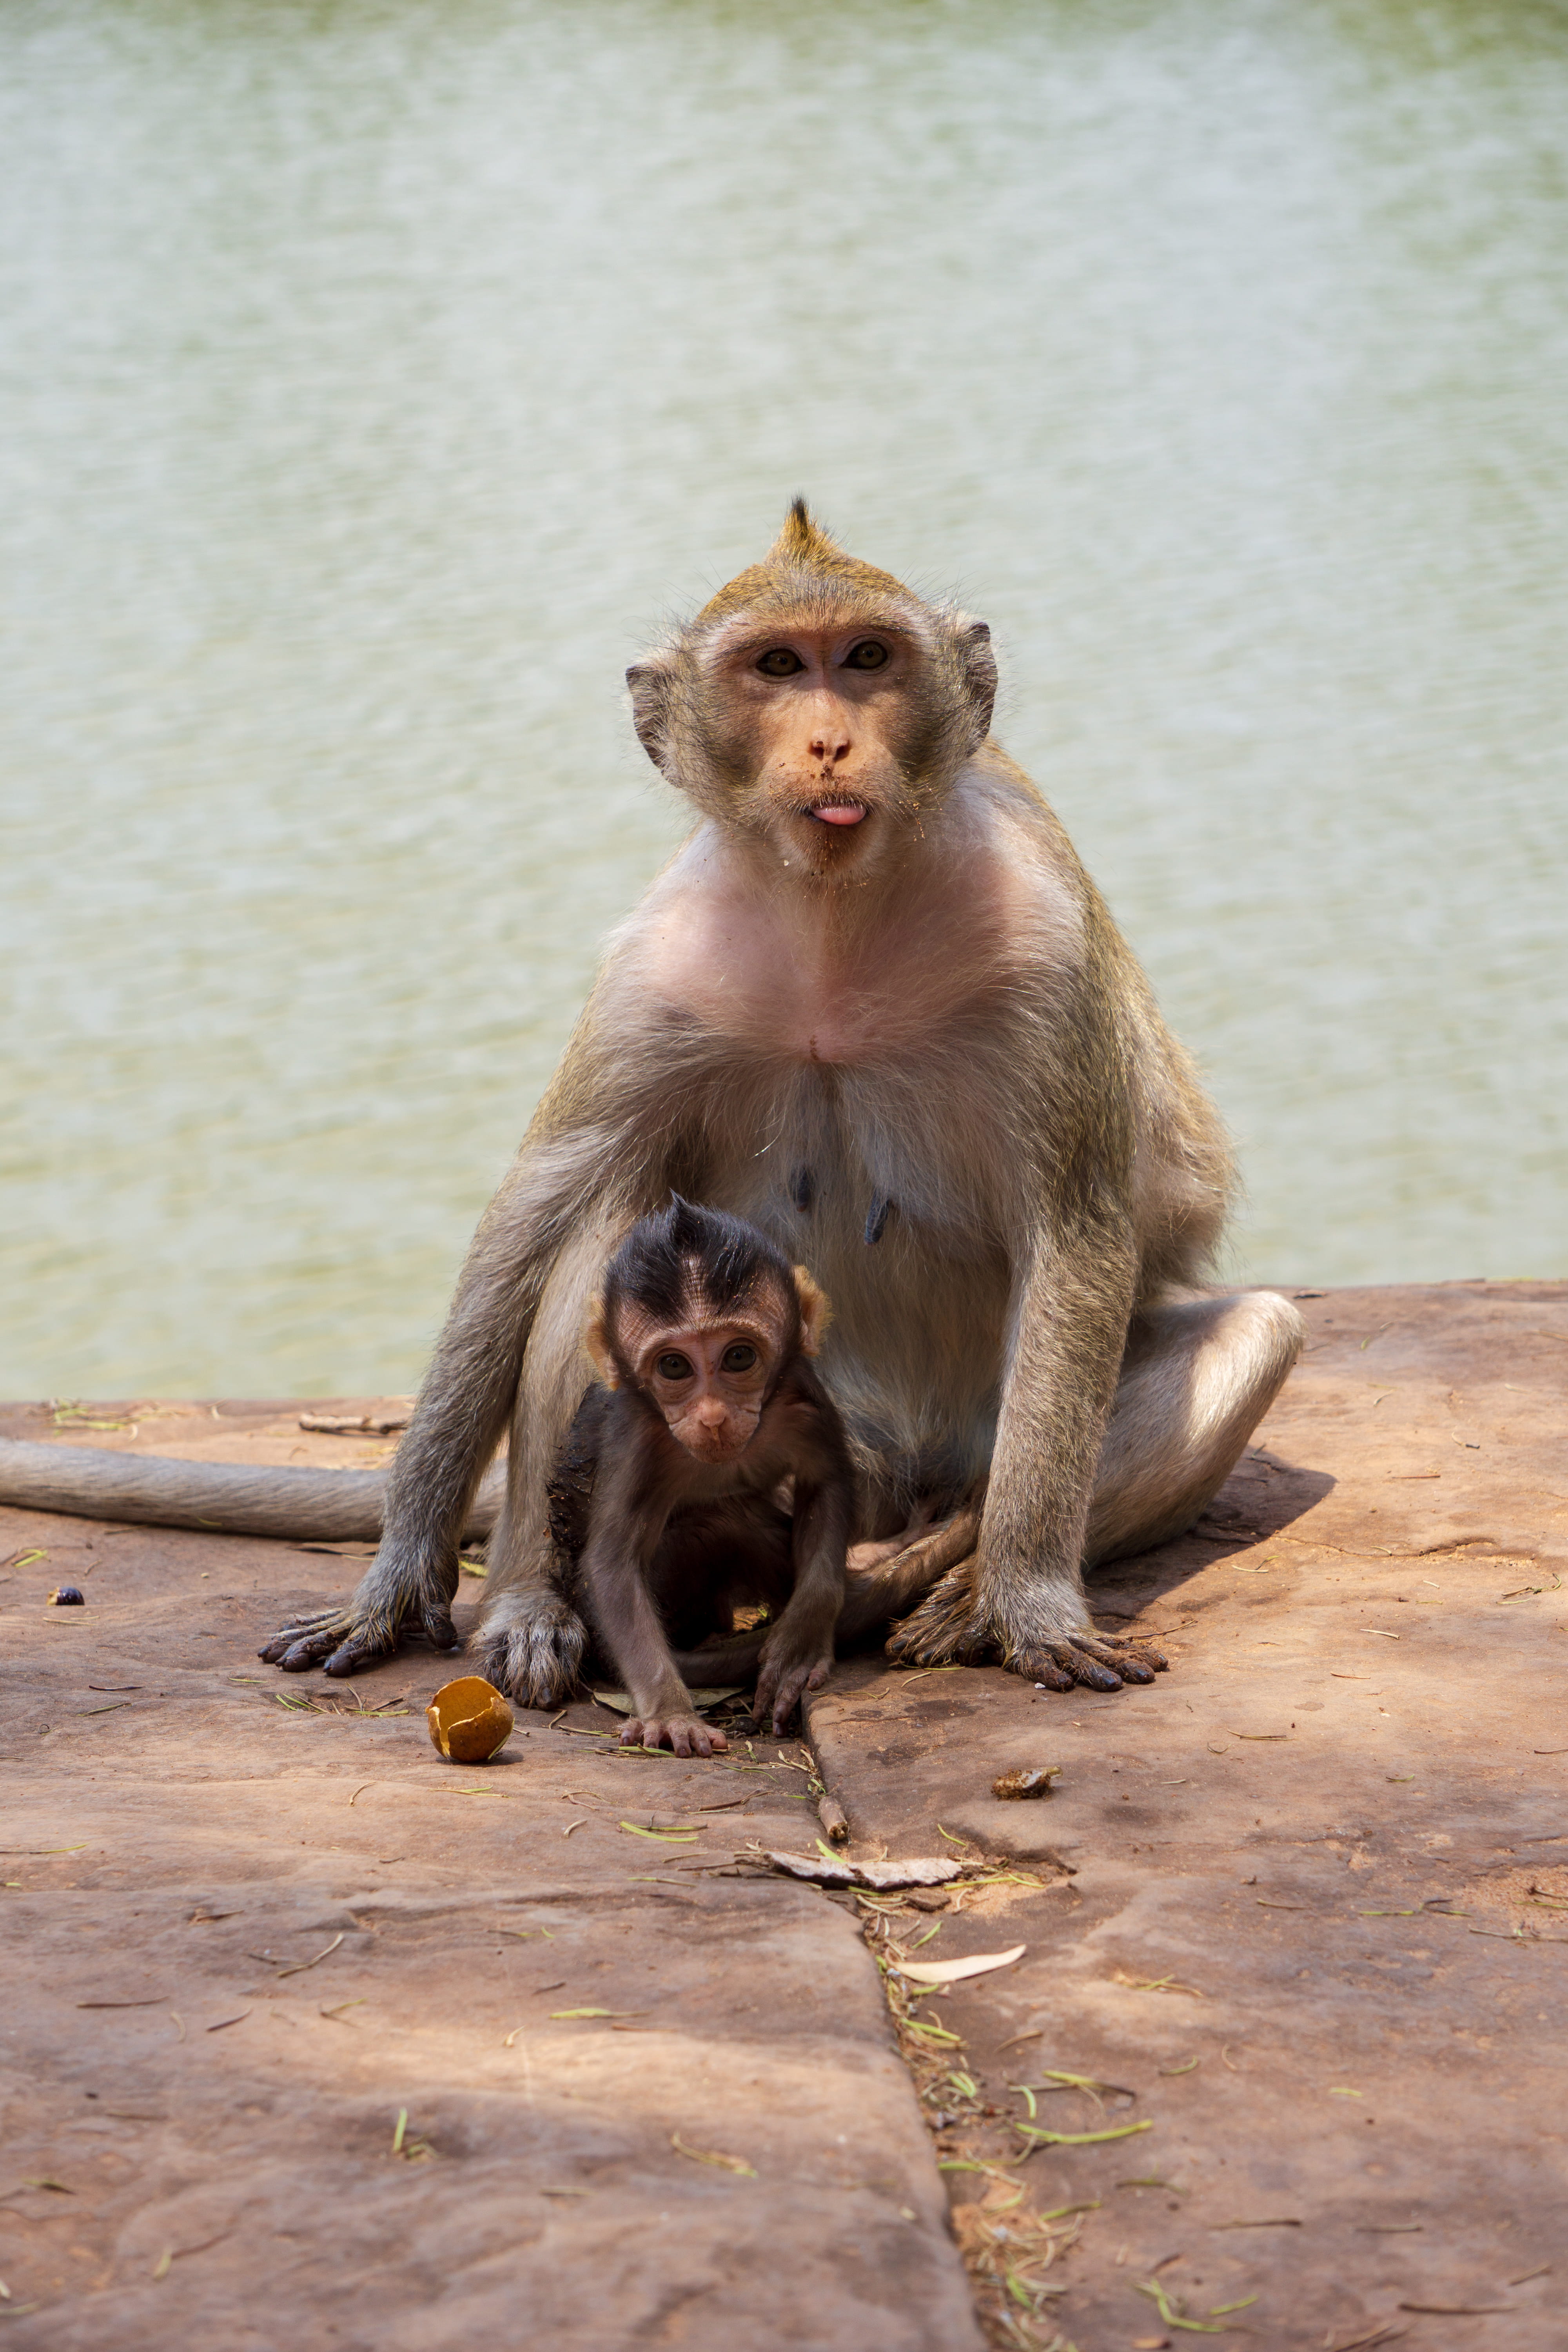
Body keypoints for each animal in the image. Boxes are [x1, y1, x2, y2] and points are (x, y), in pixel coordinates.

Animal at [544, 1195, 854, 1754]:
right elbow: (613, 1565)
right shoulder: (636, 1439)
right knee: (720, 1523)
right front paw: (671, 1714)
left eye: (739, 1356)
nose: (712, 1418)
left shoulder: (803, 1395)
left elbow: (827, 1485)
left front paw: (799, 1645)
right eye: (673, 1367)